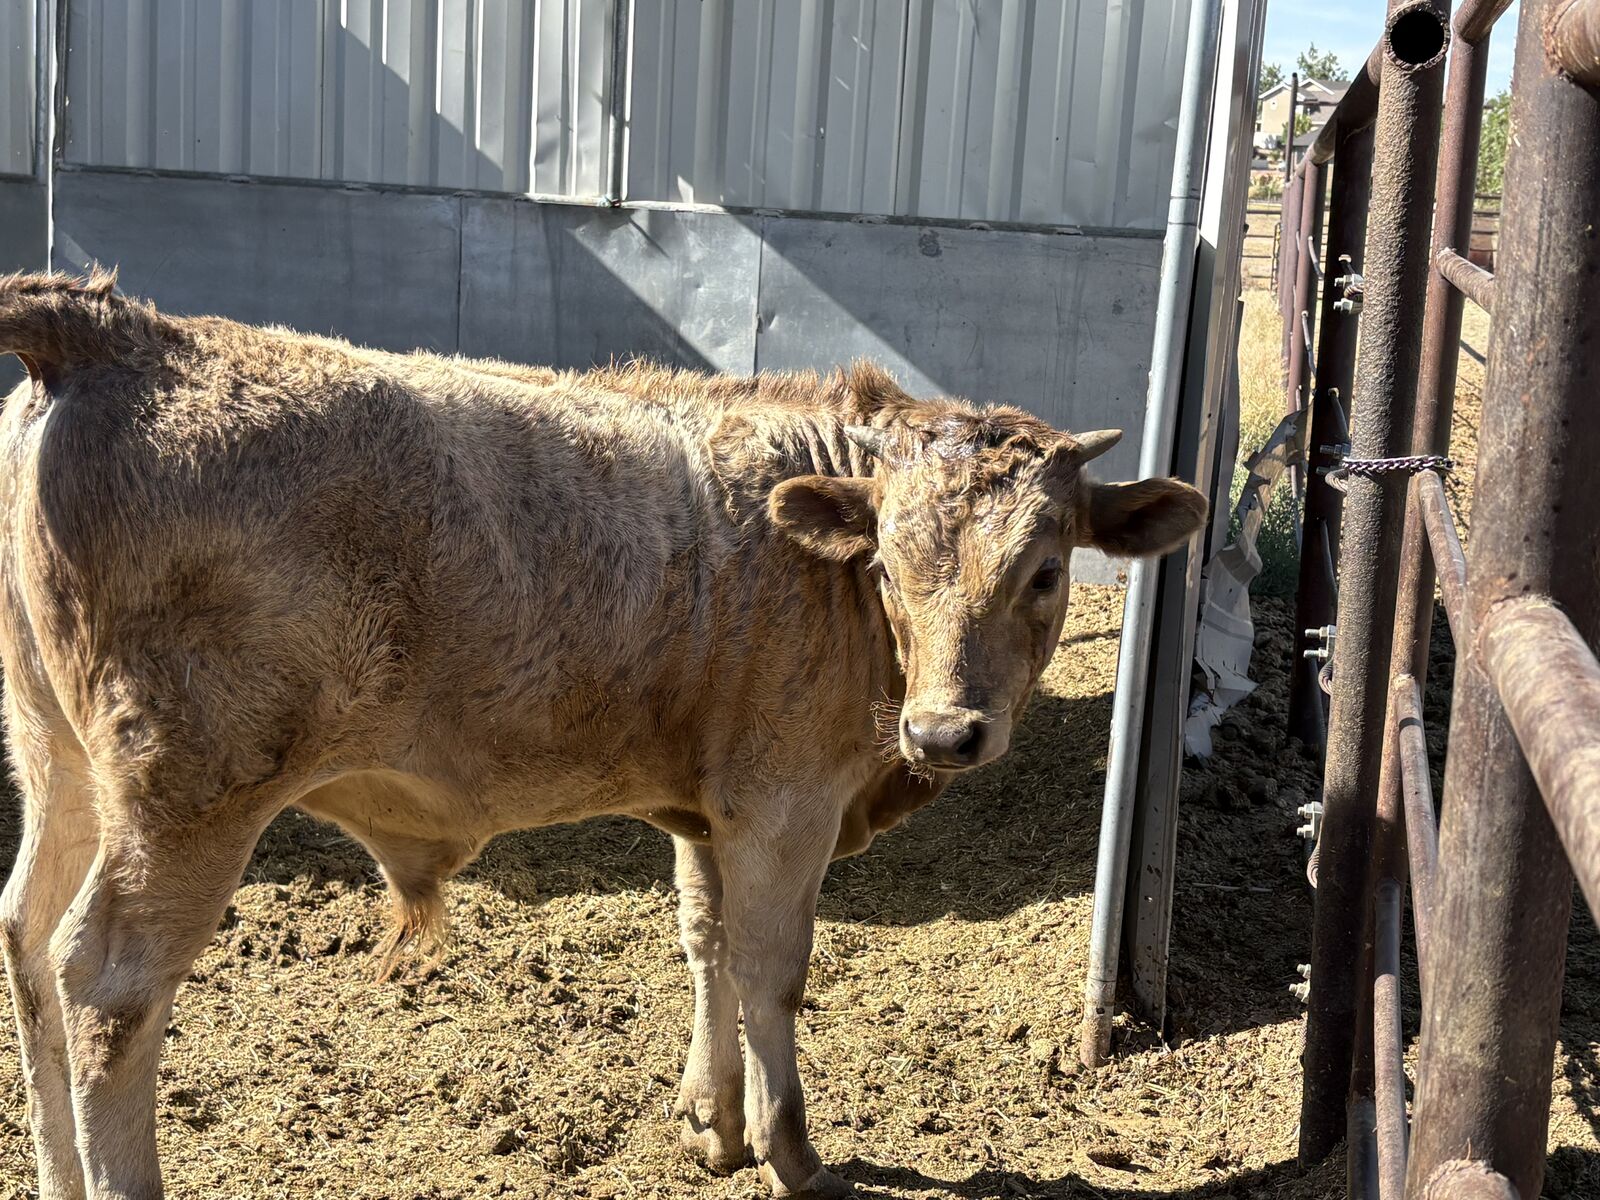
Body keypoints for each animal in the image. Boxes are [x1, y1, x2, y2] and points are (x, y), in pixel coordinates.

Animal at [0, 270, 1206, 1199]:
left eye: (1043, 571)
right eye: (890, 566)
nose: (947, 730)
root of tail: (122, 330)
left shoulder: (709, 804)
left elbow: (706, 942)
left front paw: (713, 1121)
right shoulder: (785, 801)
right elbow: (772, 967)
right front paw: (791, 1152)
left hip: (61, 763)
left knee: (25, 932)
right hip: (190, 791)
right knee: (106, 987)